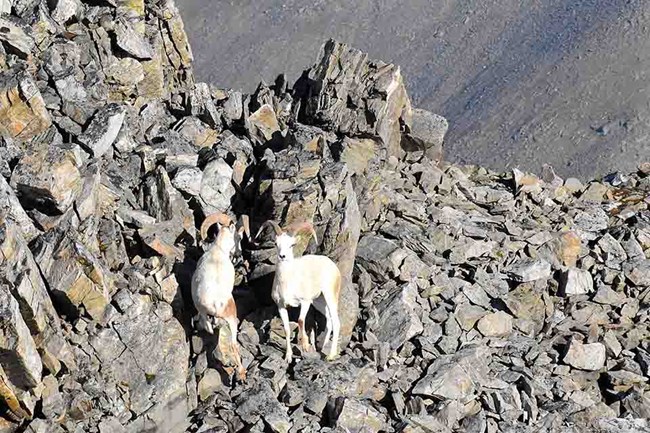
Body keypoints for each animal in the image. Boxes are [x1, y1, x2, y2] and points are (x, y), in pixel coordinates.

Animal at [192, 212, 249, 381]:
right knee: (233, 344)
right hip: (232, 318)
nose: (239, 253)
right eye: (239, 237)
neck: (218, 250)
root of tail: (215, 303)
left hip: (203, 313)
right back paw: (241, 373)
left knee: (209, 328)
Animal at [256, 220, 342, 363]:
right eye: (276, 244)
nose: (282, 256)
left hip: (330, 297)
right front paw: (288, 357)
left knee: (336, 321)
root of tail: (333, 266)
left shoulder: (305, 302)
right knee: (329, 320)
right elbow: (286, 329)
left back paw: (330, 355)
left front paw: (305, 346)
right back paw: (322, 347)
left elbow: (301, 321)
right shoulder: (281, 306)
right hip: (319, 301)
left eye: (292, 245)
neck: (287, 283)